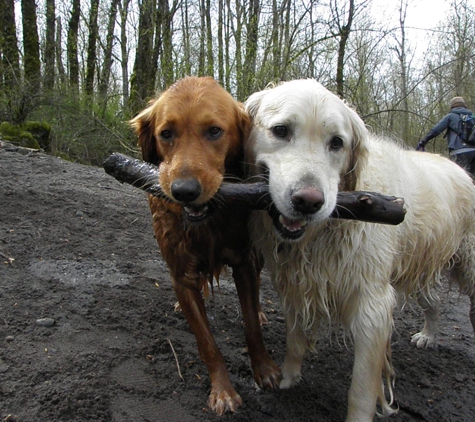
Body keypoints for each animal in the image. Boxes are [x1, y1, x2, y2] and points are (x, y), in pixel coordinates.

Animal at [130, 76, 280, 416]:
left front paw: (264, 368)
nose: (184, 191)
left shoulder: (244, 262)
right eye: (166, 134)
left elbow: (252, 327)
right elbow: (207, 342)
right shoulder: (181, 274)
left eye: (214, 131)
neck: (208, 221)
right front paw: (223, 390)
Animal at [244, 80, 475, 422]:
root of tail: (460, 170)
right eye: (281, 130)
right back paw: (429, 336)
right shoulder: (295, 282)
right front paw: (288, 377)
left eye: (337, 143)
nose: (308, 201)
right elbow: (295, 339)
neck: (320, 234)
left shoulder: (372, 306)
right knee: (433, 303)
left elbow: (363, 388)